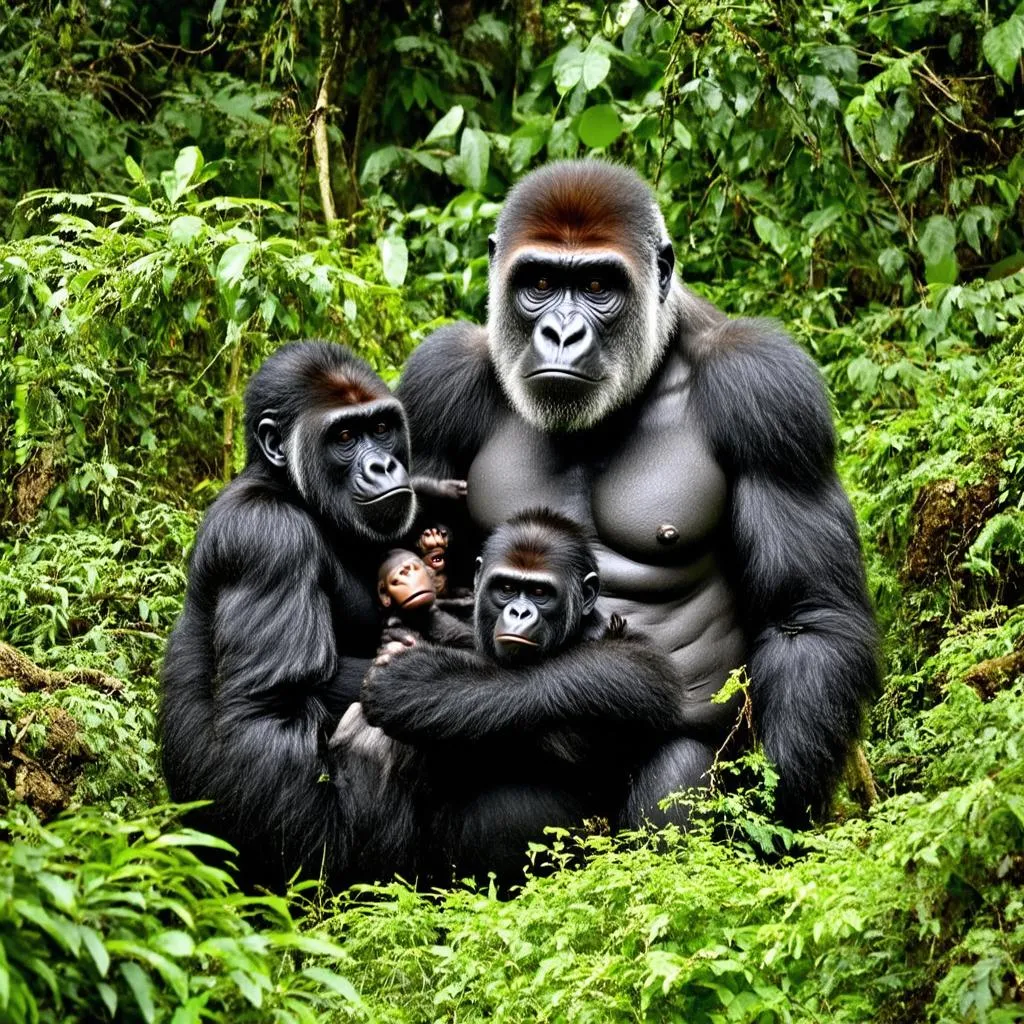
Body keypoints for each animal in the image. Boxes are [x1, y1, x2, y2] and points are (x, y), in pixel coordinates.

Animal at [329, 509, 679, 888]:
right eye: (507, 588)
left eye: (540, 592)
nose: (519, 613)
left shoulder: (620, 646)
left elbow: (632, 671)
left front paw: (417, 683)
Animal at [362, 161, 880, 831]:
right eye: (540, 282)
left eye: (598, 285)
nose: (560, 333)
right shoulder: (436, 381)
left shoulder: (769, 388)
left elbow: (805, 617)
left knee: (679, 765)